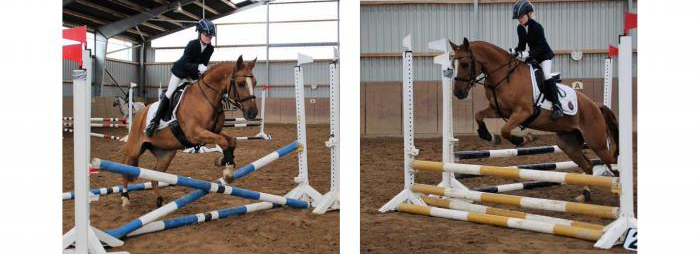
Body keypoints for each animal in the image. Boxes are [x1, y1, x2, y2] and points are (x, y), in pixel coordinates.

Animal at [119, 55, 258, 206]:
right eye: (241, 83)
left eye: (255, 83)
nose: (253, 113)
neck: (206, 97)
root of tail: (139, 114)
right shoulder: (194, 134)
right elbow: (223, 141)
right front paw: (227, 171)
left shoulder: (213, 131)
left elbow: (231, 141)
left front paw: (223, 161)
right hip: (134, 149)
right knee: (126, 168)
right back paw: (125, 198)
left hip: (166, 154)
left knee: (155, 176)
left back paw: (159, 200)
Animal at [448, 37, 616, 201]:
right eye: (452, 64)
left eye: (465, 64)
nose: (458, 93)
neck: (504, 76)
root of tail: (596, 106)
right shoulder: (498, 110)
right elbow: (479, 115)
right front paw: (490, 137)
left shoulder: (522, 112)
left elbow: (505, 130)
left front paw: (524, 139)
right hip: (568, 144)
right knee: (588, 166)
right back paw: (585, 193)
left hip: (597, 143)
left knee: (612, 164)